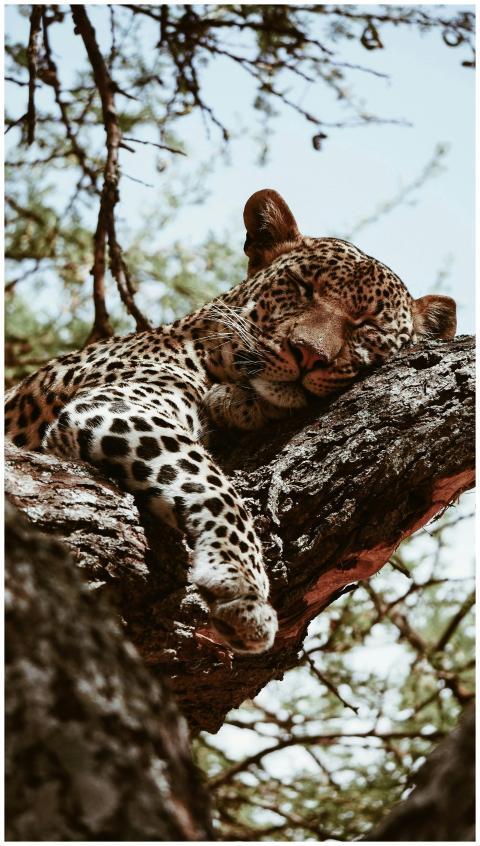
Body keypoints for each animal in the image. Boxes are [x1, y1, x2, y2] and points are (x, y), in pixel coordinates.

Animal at [5, 189, 457, 655]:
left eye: (366, 325)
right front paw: (241, 586)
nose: (308, 353)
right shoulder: (117, 404)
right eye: (303, 288)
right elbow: (212, 485)